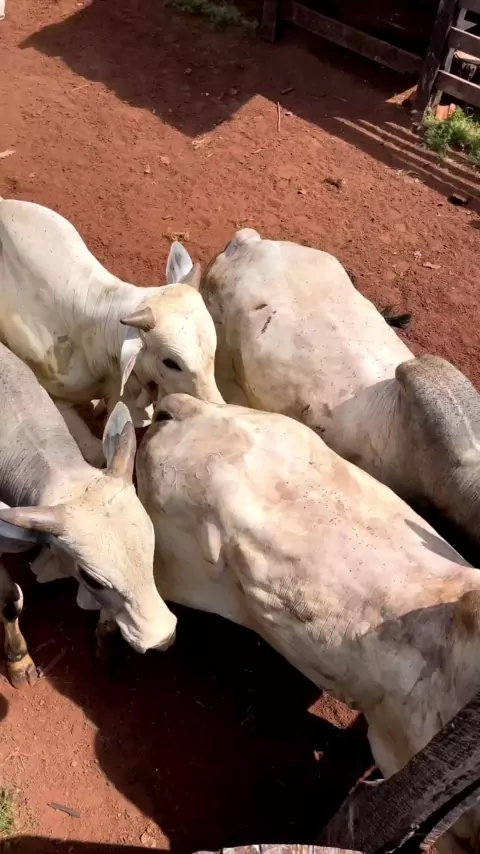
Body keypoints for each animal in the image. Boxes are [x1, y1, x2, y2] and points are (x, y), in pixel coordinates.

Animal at [0, 342, 176, 687]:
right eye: (91, 578)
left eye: (150, 548)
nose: (163, 636)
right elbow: (9, 602)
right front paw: (18, 661)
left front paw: (107, 645)